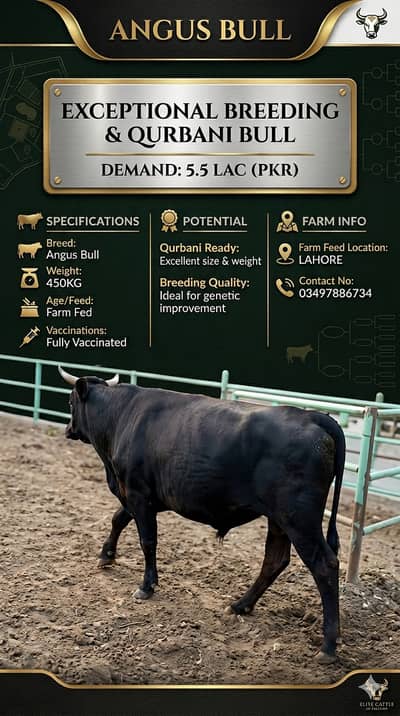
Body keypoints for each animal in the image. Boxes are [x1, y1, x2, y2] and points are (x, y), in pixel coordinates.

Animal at [58, 367, 346, 664]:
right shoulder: (136, 495)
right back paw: (241, 605)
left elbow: (147, 541)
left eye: (70, 402)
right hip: (279, 519)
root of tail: (312, 415)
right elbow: (118, 518)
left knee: (324, 566)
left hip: (299, 519)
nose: (68, 429)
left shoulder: (138, 493)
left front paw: (147, 586)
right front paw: (106, 555)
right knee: (274, 560)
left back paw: (328, 645)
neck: (121, 416)